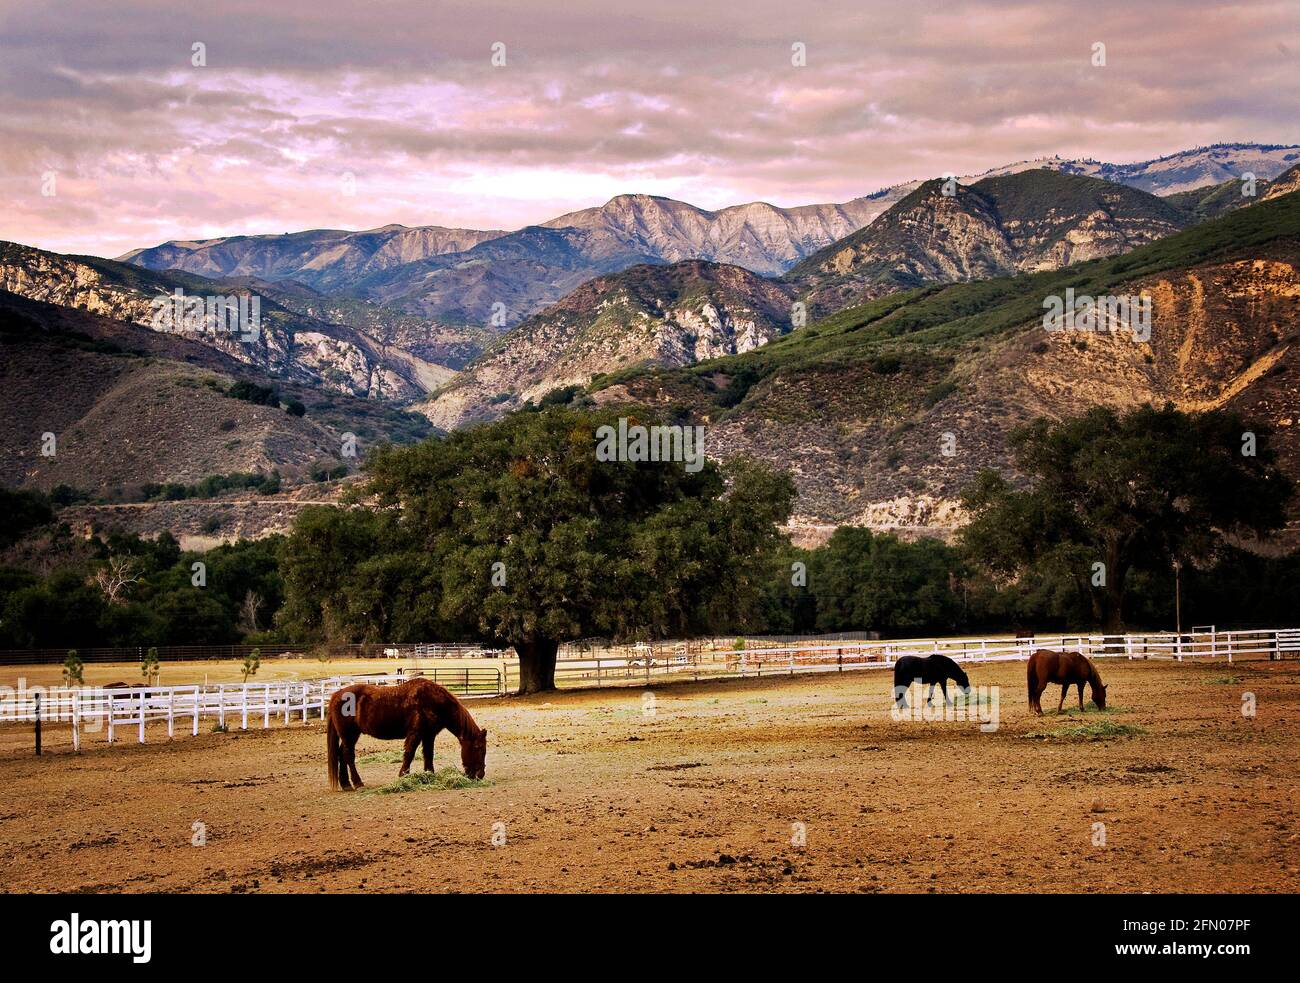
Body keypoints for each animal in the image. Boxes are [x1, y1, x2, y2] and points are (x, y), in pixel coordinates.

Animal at [325, 676, 488, 790]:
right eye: (478, 747)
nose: (480, 775)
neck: (433, 700)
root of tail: (336, 695)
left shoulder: (428, 735)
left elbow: (428, 755)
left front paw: (429, 775)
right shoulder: (415, 733)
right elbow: (409, 753)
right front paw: (403, 775)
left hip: (351, 736)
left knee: (341, 755)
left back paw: (346, 784)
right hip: (349, 735)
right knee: (348, 756)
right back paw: (357, 783)